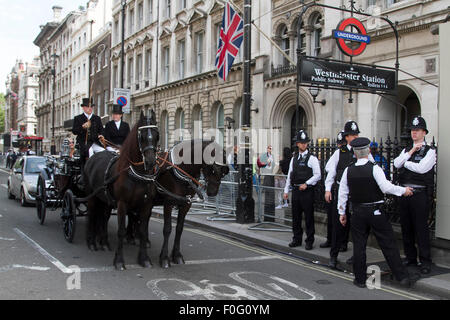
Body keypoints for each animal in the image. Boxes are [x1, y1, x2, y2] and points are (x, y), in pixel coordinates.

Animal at [83, 110, 159, 270]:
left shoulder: (146, 205)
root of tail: (93, 157)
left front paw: (144, 259)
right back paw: (91, 242)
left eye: (157, 135)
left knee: (103, 217)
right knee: (92, 215)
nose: (150, 162)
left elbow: (143, 231)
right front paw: (119, 260)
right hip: (92, 197)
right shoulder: (122, 204)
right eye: (141, 136)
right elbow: (121, 230)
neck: (136, 174)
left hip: (105, 199)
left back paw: (104, 243)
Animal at [150, 140, 230, 268]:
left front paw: (177, 255)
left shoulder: (186, 204)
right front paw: (164, 258)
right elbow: (167, 229)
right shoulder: (168, 203)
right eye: (212, 169)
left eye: (223, 172)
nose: (212, 192)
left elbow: (179, 228)